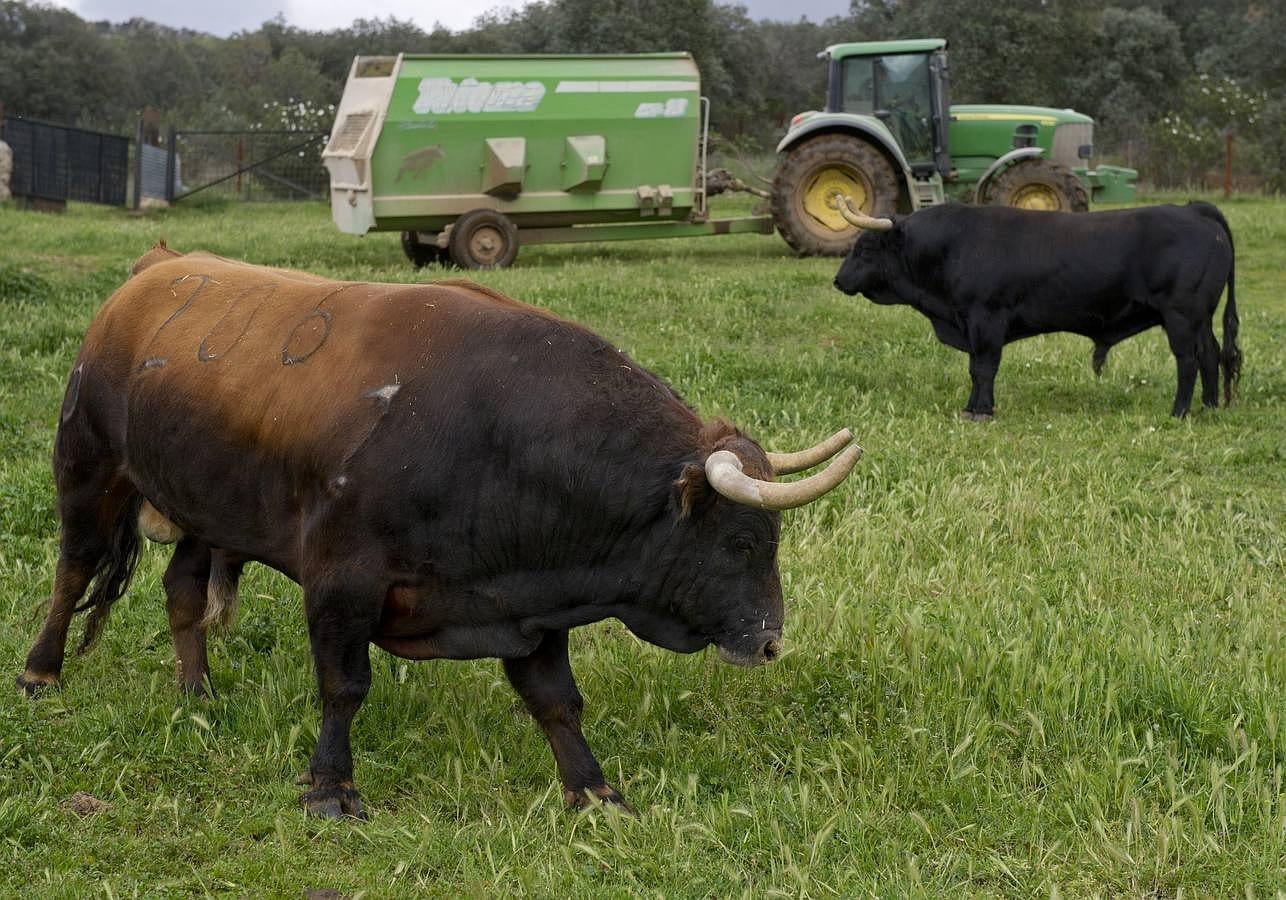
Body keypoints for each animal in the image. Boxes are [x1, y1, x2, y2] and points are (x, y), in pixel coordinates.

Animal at [828, 200, 1239, 419]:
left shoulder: (986, 319)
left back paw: (1180, 411)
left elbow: (983, 368)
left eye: (865, 248)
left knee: (1188, 360)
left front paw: (981, 410)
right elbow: (976, 368)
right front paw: (973, 407)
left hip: (1181, 316)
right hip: (1200, 318)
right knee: (1210, 355)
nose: (838, 280)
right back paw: (1209, 407)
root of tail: (1193, 210)